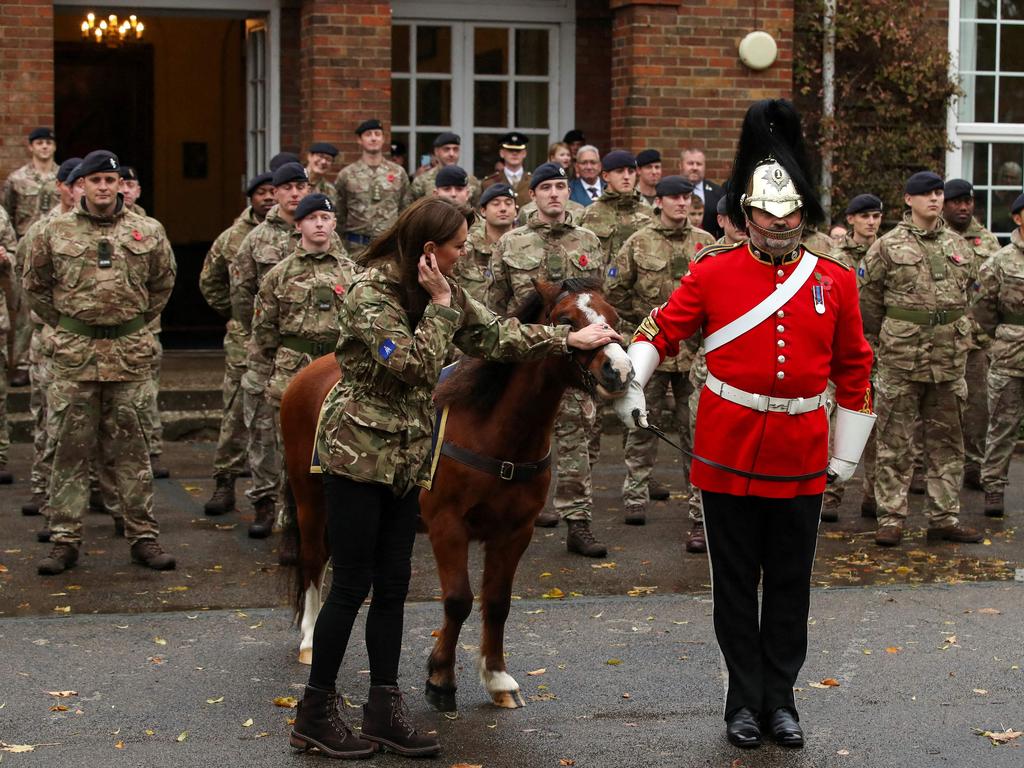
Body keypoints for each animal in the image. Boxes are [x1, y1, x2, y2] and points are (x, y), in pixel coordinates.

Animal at [282, 280, 630, 708]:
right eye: (566, 319)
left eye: (614, 318)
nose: (619, 370)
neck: (496, 433)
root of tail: (307, 374)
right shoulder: (447, 525)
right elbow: (459, 599)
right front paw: (441, 677)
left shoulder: (516, 532)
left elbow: (497, 602)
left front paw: (497, 677)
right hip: (310, 499)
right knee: (313, 559)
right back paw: (310, 637)